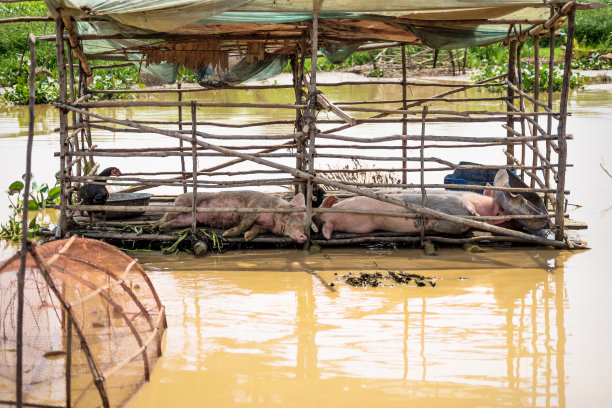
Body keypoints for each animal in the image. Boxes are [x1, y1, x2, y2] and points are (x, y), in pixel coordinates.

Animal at [153, 190, 306, 242]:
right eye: (297, 221)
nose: (304, 236)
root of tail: (178, 196)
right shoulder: (253, 208)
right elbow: (244, 224)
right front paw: (227, 234)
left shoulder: (264, 226)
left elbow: (255, 229)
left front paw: (247, 237)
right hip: (182, 203)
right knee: (167, 213)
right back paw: (155, 226)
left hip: (187, 219)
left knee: (174, 221)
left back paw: (161, 228)